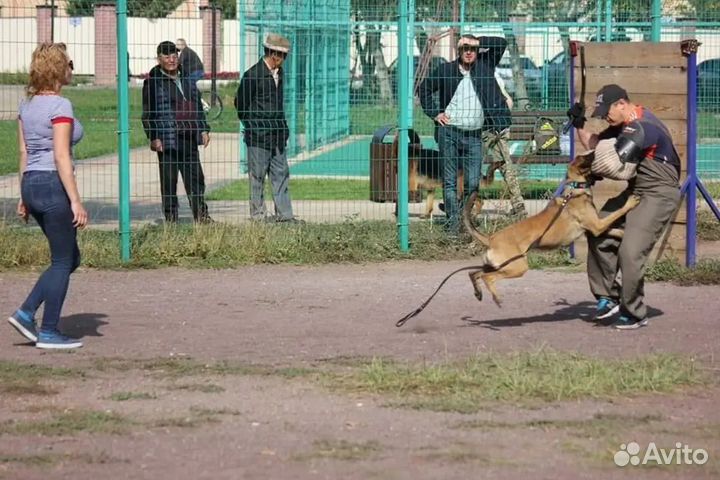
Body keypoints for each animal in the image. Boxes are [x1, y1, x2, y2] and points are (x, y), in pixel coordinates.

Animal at [462, 150, 640, 306]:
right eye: (588, 157)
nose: (596, 151)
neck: (576, 186)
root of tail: (490, 239)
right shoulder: (597, 226)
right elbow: (617, 213)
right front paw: (630, 202)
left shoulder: (594, 229)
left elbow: (615, 230)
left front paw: (622, 233)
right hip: (517, 267)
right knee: (487, 277)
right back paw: (496, 298)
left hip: (497, 265)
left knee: (474, 273)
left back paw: (478, 293)